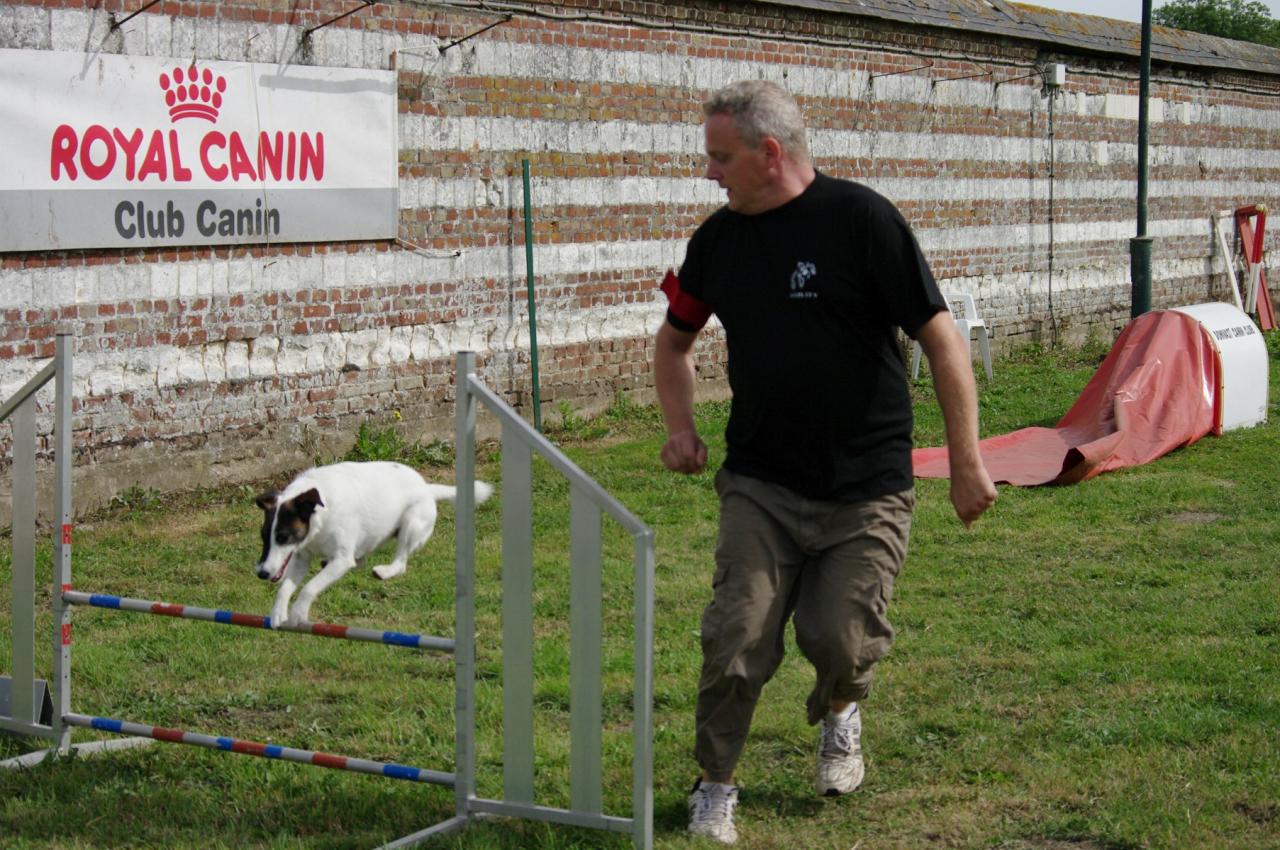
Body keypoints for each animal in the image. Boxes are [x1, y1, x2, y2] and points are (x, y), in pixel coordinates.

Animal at [253, 460, 488, 627]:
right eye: (263, 536)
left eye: (283, 537)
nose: (262, 573)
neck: (321, 513)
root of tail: (428, 488)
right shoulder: (302, 557)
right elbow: (285, 588)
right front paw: (278, 613)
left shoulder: (341, 560)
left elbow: (310, 587)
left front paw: (298, 613)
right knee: (362, 559)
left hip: (411, 523)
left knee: (401, 562)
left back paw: (385, 571)